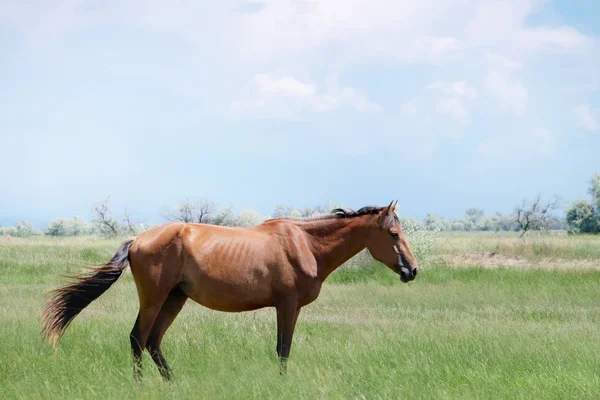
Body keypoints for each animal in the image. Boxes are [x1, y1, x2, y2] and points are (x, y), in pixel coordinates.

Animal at [41, 202, 418, 380]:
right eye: (394, 234)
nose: (412, 270)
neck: (305, 244)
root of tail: (137, 239)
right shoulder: (287, 305)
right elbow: (283, 349)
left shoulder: (289, 307)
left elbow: (283, 349)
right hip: (154, 298)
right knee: (138, 338)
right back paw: (142, 385)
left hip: (175, 299)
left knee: (153, 342)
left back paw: (173, 383)